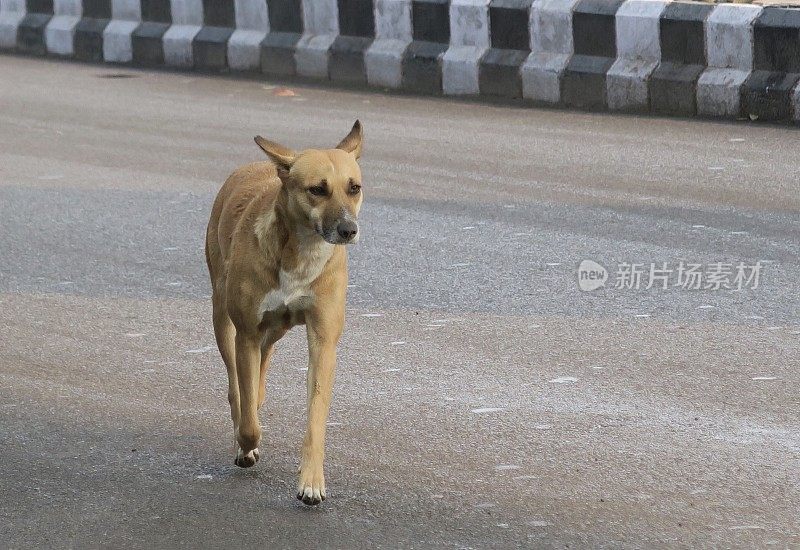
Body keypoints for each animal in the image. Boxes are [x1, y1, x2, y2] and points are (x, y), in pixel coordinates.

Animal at [208, 123, 368, 506]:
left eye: (353, 187)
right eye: (317, 190)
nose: (348, 230)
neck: (301, 253)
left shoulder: (323, 342)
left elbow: (316, 417)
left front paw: (311, 480)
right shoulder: (247, 333)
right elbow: (248, 420)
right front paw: (247, 445)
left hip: (275, 329)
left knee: (260, 371)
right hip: (223, 319)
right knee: (237, 387)